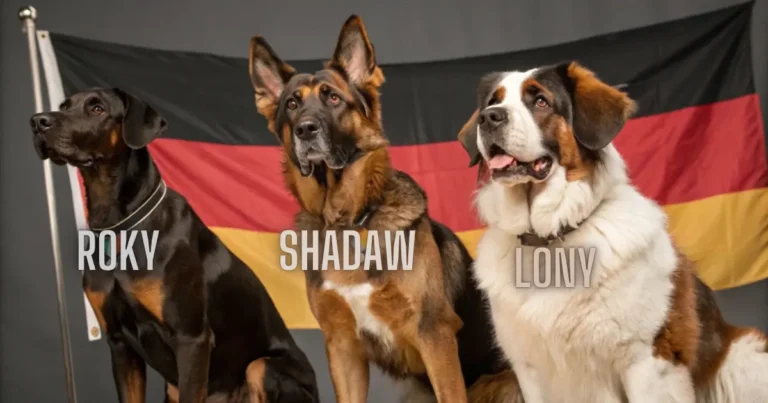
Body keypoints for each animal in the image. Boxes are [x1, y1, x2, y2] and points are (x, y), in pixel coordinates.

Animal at [29, 89, 318, 403]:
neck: (119, 228)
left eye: (97, 108)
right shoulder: (119, 344)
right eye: (64, 106)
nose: (38, 121)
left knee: (259, 366)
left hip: (263, 367)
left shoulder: (192, 339)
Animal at [246, 15, 520, 403]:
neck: (351, 221)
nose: (305, 130)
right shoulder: (343, 348)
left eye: (333, 98)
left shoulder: (435, 336)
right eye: (291, 105)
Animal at [456, 60, 768, 403]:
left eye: (540, 101)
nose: (489, 117)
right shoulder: (529, 370)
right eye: (493, 102)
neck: (549, 240)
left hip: (745, 358)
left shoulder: (648, 361)